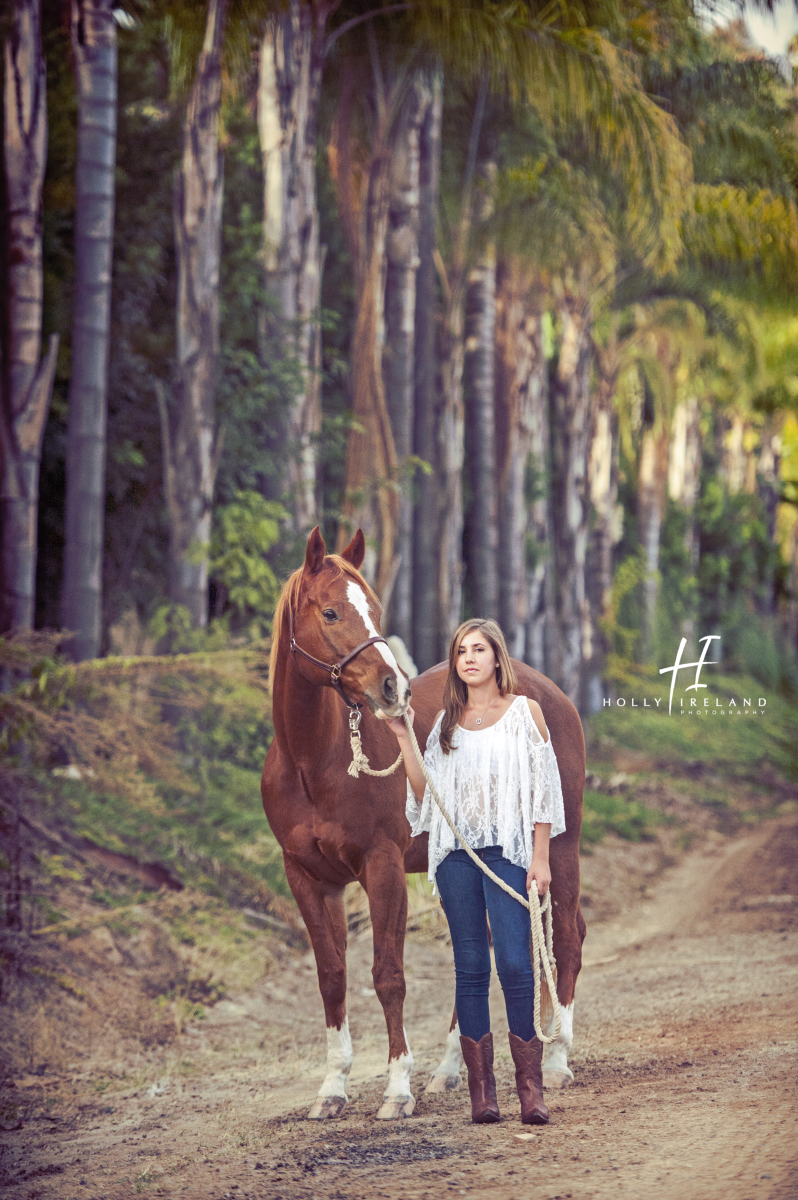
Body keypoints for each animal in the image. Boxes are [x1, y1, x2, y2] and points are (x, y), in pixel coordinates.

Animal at [261, 530, 585, 1118]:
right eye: (331, 611)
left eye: (375, 609)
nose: (394, 689)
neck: (313, 761)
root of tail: (549, 693)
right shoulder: (307, 879)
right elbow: (333, 978)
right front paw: (333, 1088)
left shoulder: (382, 867)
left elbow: (387, 976)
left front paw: (396, 1089)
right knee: (481, 950)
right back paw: (450, 1070)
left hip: (560, 848)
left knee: (567, 937)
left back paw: (555, 1060)